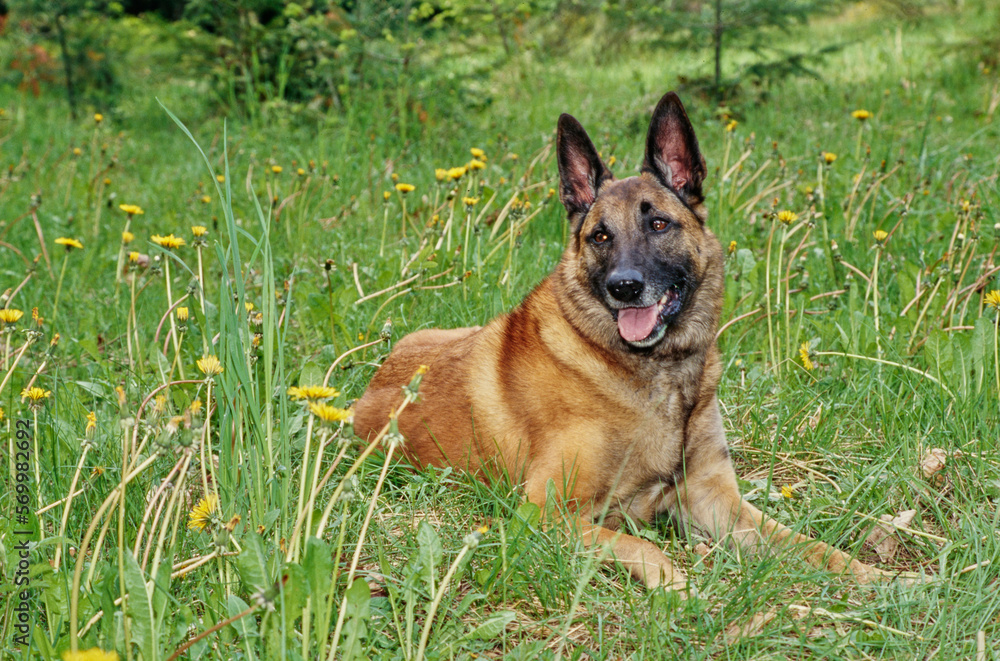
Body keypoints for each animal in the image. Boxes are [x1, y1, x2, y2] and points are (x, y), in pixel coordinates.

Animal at [354, 91, 900, 588]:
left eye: (658, 223)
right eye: (600, 236)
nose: (625, 286)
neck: (657, 374)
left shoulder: (714, 498)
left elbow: (809, 546)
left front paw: (884, 579)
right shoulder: (545, 512)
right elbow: (642, 546)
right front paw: (679, 589)